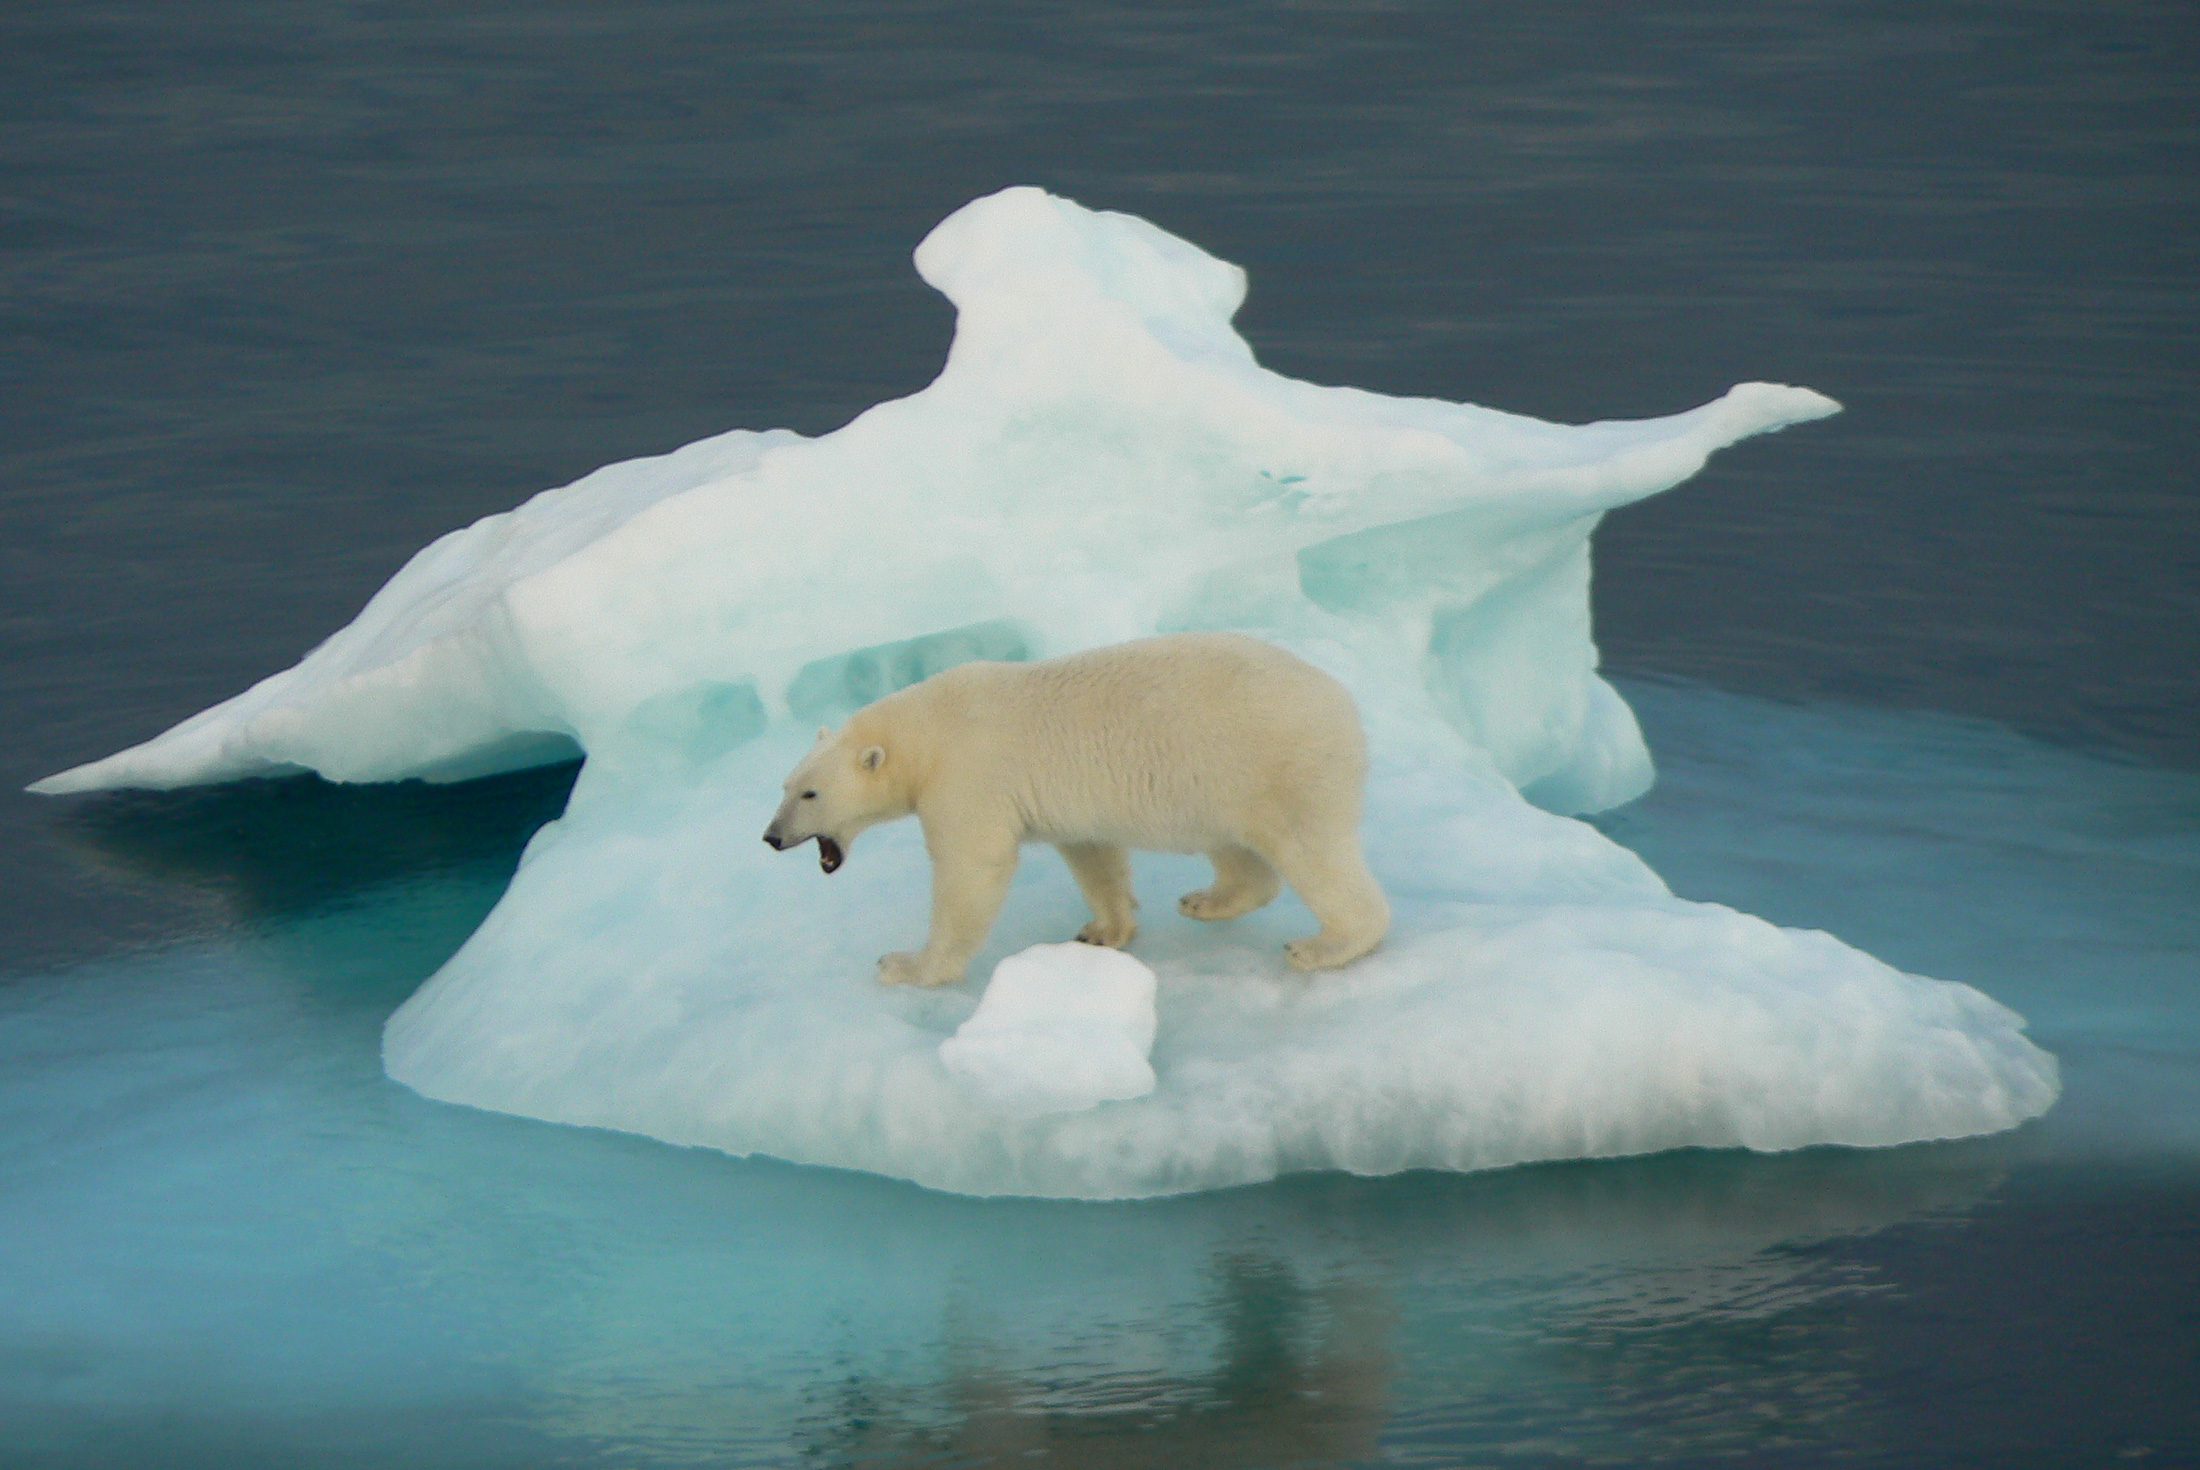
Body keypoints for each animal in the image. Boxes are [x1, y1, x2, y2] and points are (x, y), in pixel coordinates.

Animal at [765, 633, 1381, 985]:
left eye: (810, 794)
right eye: (784, 785)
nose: (771, 837)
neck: (924, 732)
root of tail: (1342, 701)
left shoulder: (967, 778)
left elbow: (972, 869)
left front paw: (904, 965)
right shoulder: (1068, 808)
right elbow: (1093, 854)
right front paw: (1102, 930)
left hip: (1273, 764)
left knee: (1312, 852)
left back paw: (1322, 946)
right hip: (1219, 783)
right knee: (1236, 850)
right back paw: (1206, 900)